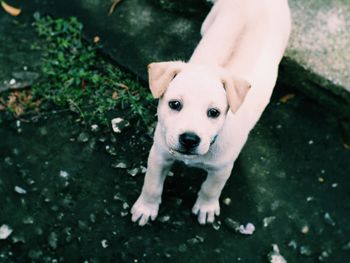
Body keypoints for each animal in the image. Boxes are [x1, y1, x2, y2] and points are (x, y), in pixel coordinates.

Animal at [131, 0, 290, 227]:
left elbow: (210, 188)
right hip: (210, 19)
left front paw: (206, 208)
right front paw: (146, 207)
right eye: (174, 104)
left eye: (214, 112)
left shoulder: (222, 169)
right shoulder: (159, 154)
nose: (189, 139)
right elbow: (151, 184)